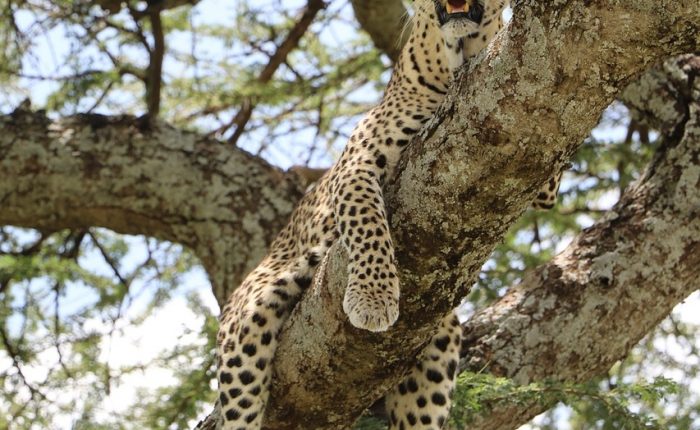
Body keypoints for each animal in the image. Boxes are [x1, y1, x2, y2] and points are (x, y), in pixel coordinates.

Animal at [211, 1, 560, 428]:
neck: (458, 56)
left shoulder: (542, 176)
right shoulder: (356, 167)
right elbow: (367, 224)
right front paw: (373, 299)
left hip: (440, 344)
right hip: (249, 315)